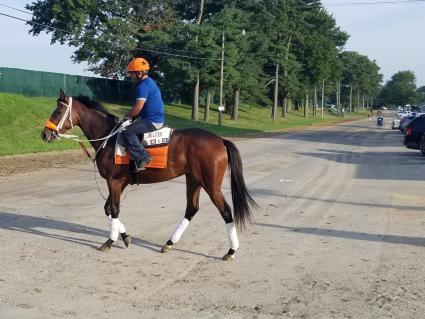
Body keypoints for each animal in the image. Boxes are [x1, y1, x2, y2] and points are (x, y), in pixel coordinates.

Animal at [42, 89, 255, 262]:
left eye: (58, 111)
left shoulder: (114, 181)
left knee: (226, 211)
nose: (45, 134)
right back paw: (170, 242)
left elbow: (114, 209)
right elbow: (108, 208)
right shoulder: (122, 183)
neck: (109, 138)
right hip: (193, 180)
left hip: (210, 184)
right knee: (191, 209)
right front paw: (125, 236)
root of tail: (220, 140)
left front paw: (110, 241)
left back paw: (231, 251)